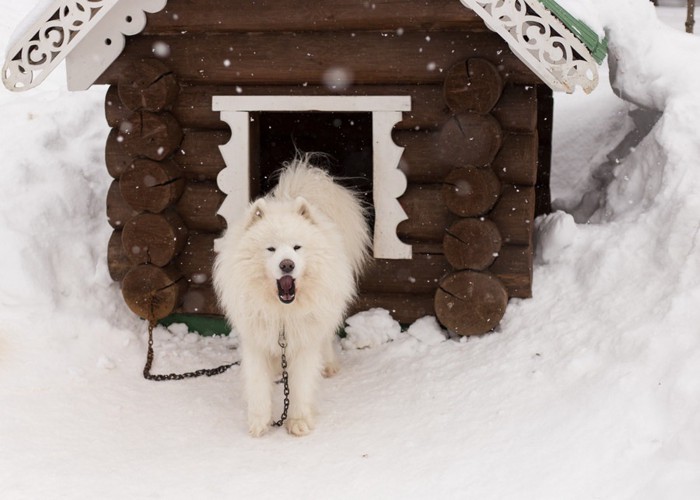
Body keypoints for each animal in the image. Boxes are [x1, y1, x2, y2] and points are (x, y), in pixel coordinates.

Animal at [213, 154, 370, 436]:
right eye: (271, 249)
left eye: (297, 247)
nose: (287, 264)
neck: (283, 313)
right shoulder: (256, 339)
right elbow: (257, 385)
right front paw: (259, 423)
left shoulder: (304, 340)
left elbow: (301, 386)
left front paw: (298, 422)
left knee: (326, 339)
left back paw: (328, 366)